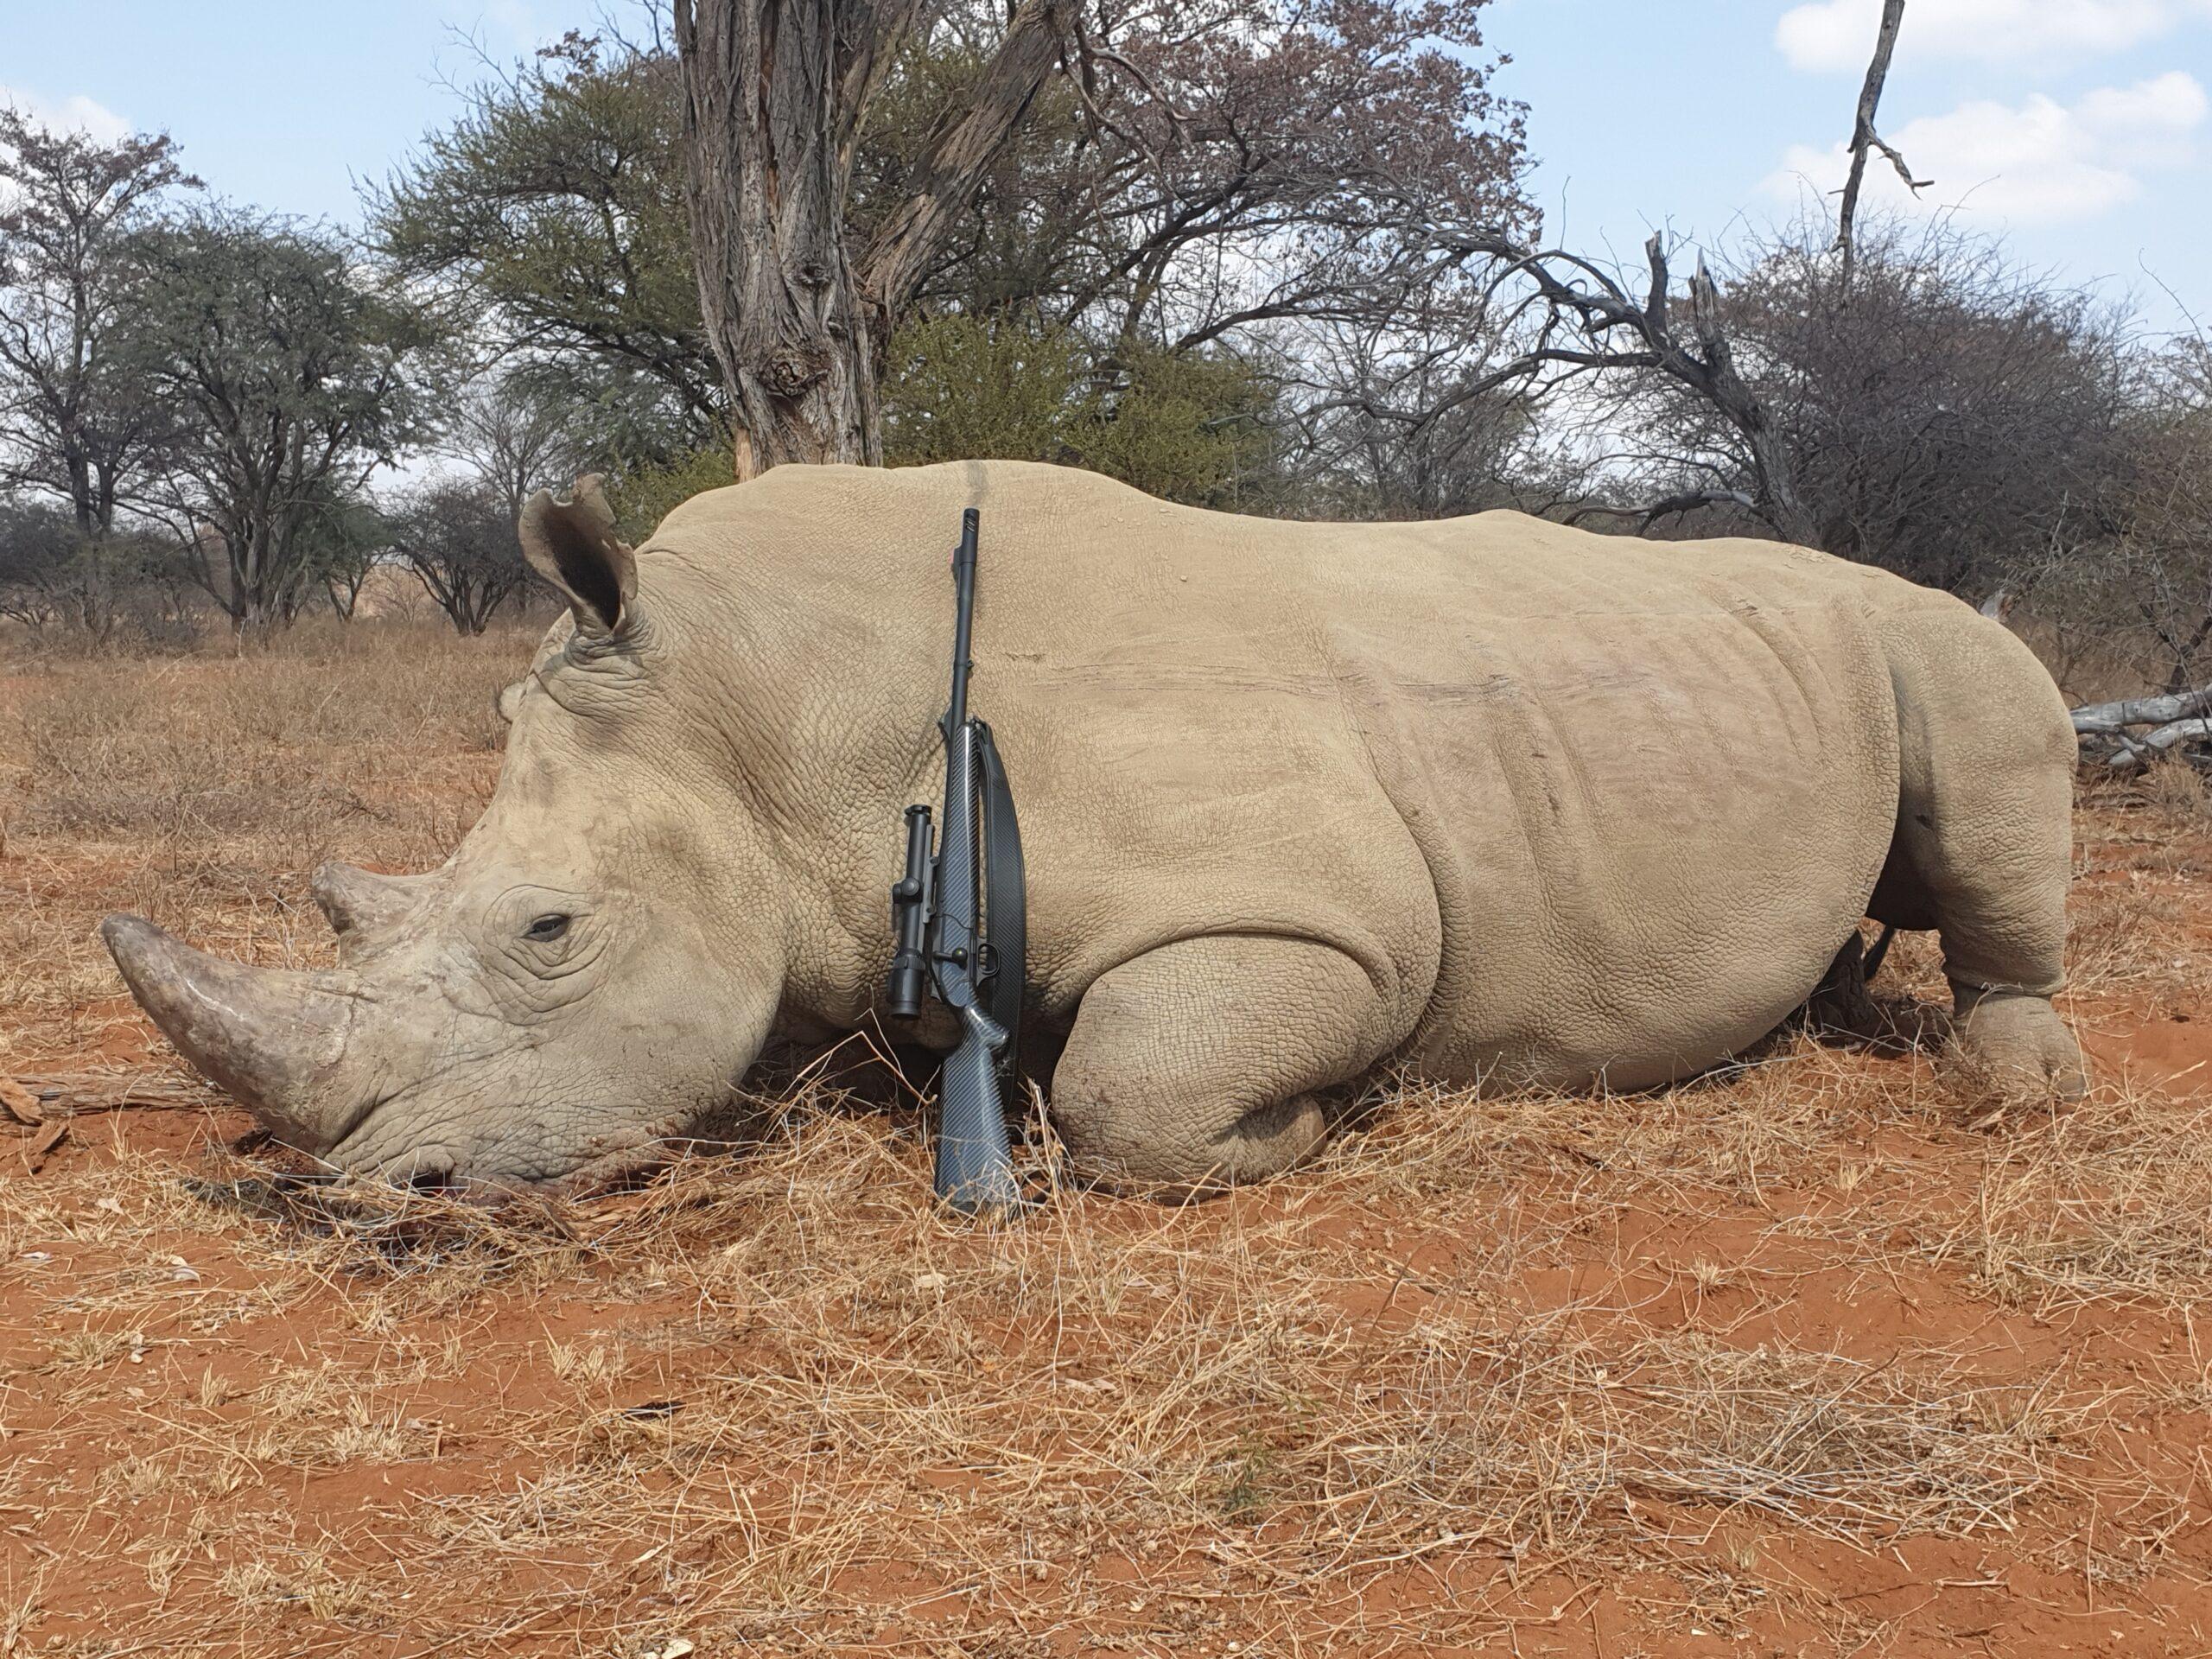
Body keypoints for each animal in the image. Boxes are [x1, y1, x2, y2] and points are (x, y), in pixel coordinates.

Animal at [102, 460, 2087, 1189]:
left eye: (547, 933)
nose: (376, 1194)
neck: (765, 711)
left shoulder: (1325, 918)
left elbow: (1132, 1085)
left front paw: (1298, 1131)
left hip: (1936, 636)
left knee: (1987, 749)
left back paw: (2019, 1089)